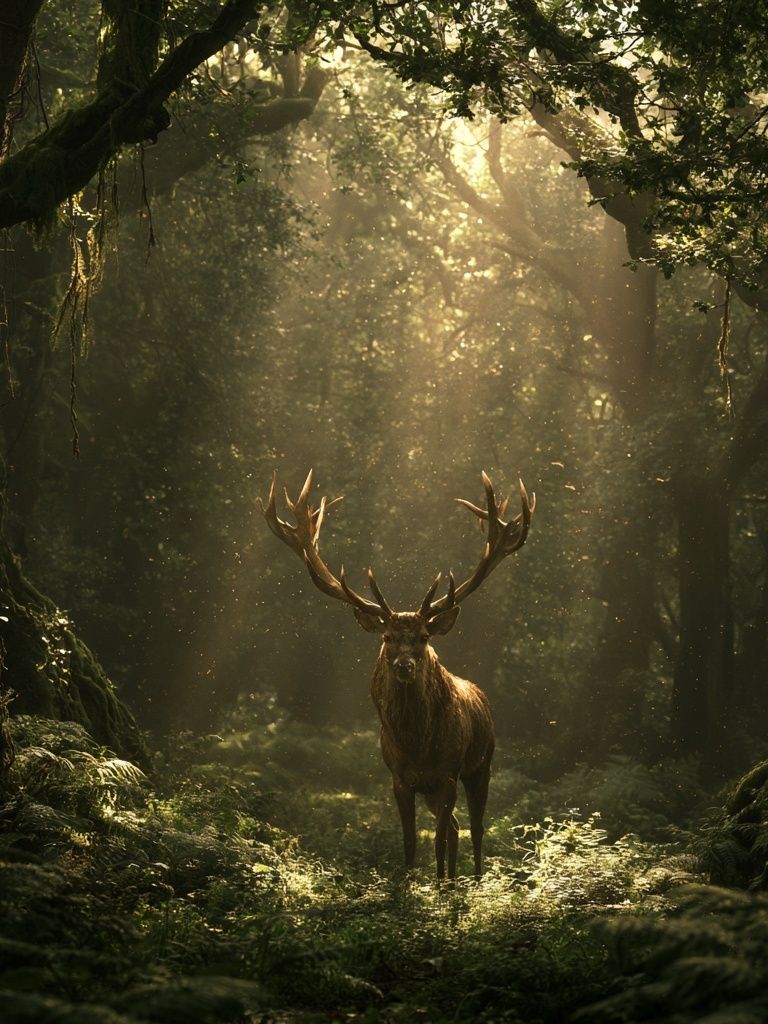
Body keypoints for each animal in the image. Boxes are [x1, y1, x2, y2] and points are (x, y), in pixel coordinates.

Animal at [259, 469, 535, 881]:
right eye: (387, 637)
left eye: (423, 637)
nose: (404, 665)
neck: (417, 745)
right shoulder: (400, 779)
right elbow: (409, 843)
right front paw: (409, 886)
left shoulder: (448, 773)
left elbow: (437, 842)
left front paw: (440, 888)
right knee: (456, 827)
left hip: (481, 764)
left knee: (476, 827)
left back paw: (472, 881)